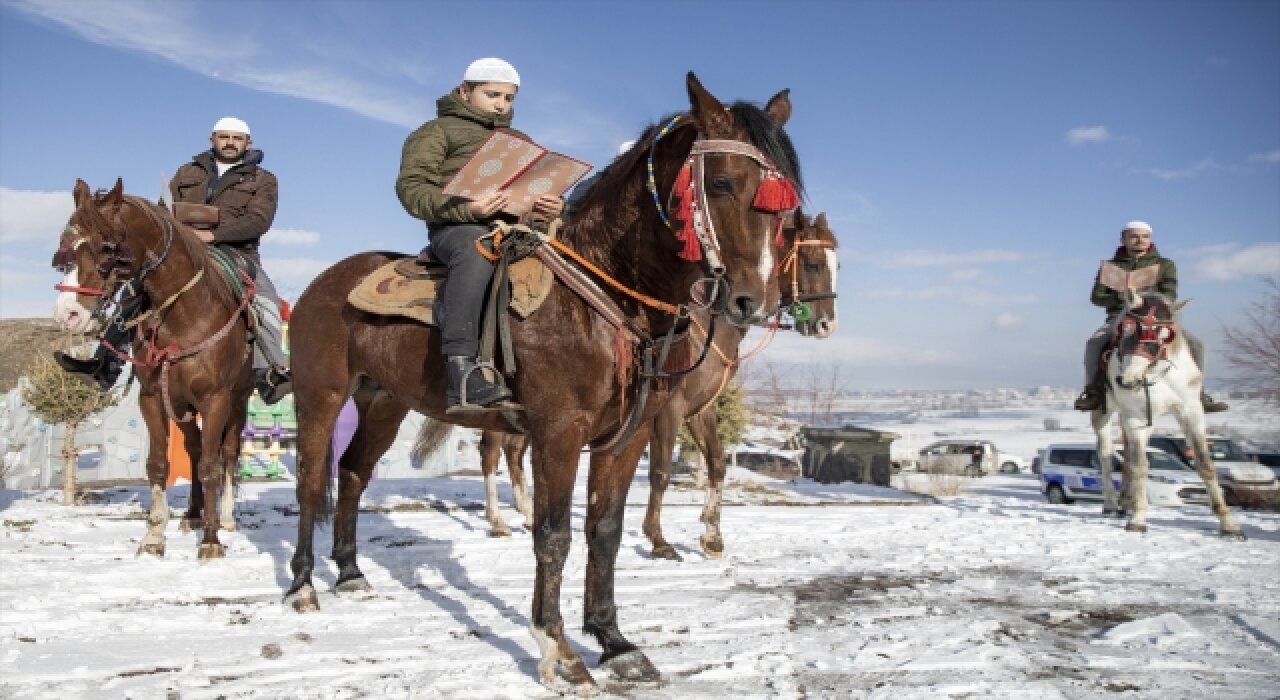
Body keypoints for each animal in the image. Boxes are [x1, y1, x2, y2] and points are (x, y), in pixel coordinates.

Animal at [51, 180, 253, 557]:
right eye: (65, 244)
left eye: (107, 247)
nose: (67, 313)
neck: (183, 317)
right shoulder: (153, 398)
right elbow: (159, 465)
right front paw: (154, 537)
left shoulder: (215, 399)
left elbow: (211, 466)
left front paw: (211, 541)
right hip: (182, 408)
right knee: (194, 447)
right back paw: (192, 514)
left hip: (238, 402)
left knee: (228, 453)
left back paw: (225, 517)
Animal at [286, 72, 803, 691]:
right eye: (722, 182)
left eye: (785, 200)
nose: (755, 301)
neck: (603, 298)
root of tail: (323, 283)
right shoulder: (558, 432)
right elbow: (553, 534)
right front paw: (560, 651)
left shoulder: (626, 435)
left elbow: (604, 529)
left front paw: (614, 641)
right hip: (320, 397)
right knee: (311, 482)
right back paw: (303, 585)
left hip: (383, 403)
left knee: (353, 473)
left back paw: (349, 573)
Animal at [465, 211, 844, 555]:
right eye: (813, 264)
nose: (826, 325)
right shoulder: (667, 411)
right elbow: (660, 471)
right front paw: (657, 537)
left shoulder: (700, 412)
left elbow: (717, 463)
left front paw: (712, 535)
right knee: (491, 453)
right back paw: (497, 520)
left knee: (514, 452)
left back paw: (526, 512)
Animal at [1090, 290, 1239, 542]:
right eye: (1125, 327)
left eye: (1163, 334)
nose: (1127, 380)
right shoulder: (1137, 417)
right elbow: (1140, 465)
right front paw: (1138, 520)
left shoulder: (1191, 411)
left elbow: (1205, 464)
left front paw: (1229, 525)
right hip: (1105, 413)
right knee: (1107, 456)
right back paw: (1111, 503)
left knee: (1125, 456)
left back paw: (1126, 501)